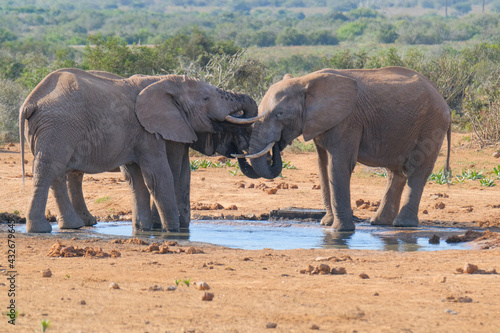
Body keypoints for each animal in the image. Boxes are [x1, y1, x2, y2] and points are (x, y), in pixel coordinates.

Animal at [19, 68, 260, 232]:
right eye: (206, 98)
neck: (163, 82)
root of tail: (30, 102)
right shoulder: (149, 131)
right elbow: (160, 175)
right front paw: (172, 231)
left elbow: (139, 178)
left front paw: (145, 229)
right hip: (58, 128)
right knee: (49, 170)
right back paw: (43, 229)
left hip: (52, 131)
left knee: (57, 172)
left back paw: (73, 226)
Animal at [238, 67, 450, 231]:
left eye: (279, 114)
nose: (277, 145)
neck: (305, 82)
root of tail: (443, 101)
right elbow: (323, 167)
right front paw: (326, 224)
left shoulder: (347, 121)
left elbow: (338, 165)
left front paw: (341, 230)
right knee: (395, 172)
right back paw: (379, 223)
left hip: (431, 125)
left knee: (417, 169)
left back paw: (403, 225)